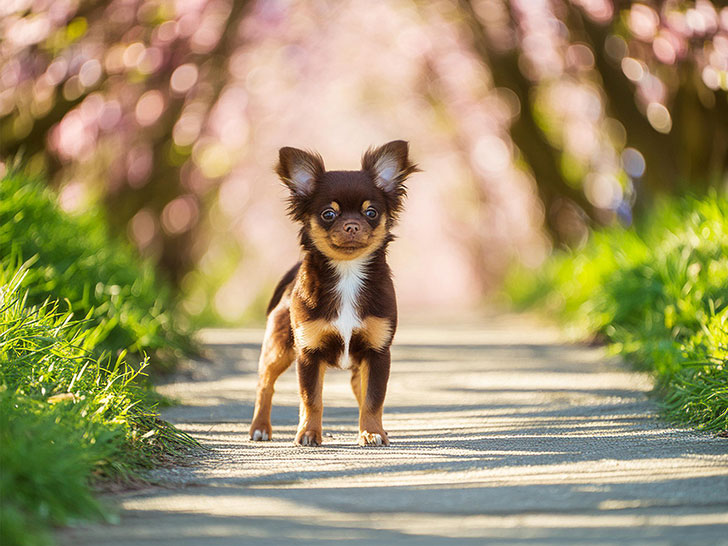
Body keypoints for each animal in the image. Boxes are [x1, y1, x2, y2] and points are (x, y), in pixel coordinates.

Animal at [250, 138, 418, 444]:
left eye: (371, 212)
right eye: (329, 214)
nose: (351, 225)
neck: (347, 272)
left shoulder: (377, 353)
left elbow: (374, 398)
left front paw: (372, 432)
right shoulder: (308, 352)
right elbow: (311, 398)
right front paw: (308, 433)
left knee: (359, 389)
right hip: (279, 347)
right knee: (265, 383)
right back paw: (260, 427)